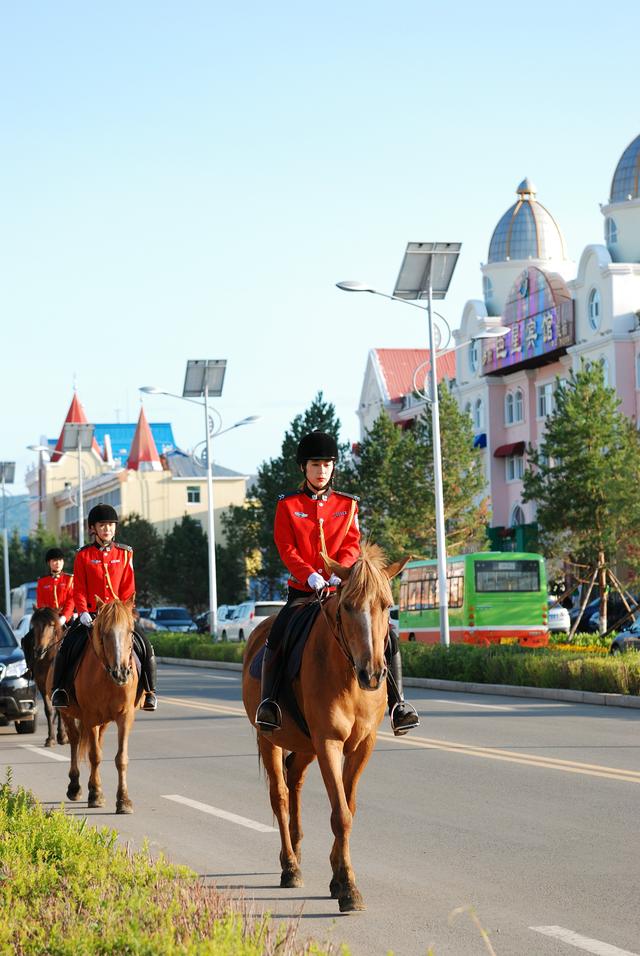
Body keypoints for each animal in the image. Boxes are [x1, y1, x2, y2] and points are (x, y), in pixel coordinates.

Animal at [29, 608, 67, 752]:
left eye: (51, 625)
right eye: (34, 625)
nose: (39, 650)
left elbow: (59, 709)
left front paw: (62, 736)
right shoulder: (41, 685)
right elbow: (48, 710)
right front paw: (50, 738)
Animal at [50, 596, 145, 816]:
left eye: (130, 631)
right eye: (103, 632)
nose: (121, 673)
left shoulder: (125, 716)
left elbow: (121, 758)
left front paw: (123, 800)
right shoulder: (90, 716)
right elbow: (94, 756)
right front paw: (95, 794)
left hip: (104, 721)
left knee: (97, 742)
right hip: (67, 712)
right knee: (75, 740)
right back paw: (75, 787)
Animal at [242, 544, 408, 912]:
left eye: (387, 604)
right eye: (347, 605)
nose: (373, 674)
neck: (348, 676)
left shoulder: (363, 744)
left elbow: (348, 806)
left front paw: (337, 874)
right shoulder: (329, 742)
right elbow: (340, 814)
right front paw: (348, 887)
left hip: (306, 744)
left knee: (295, 778)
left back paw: (296, 847)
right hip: (270, 737)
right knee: (280, 794)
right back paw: (289, 865)